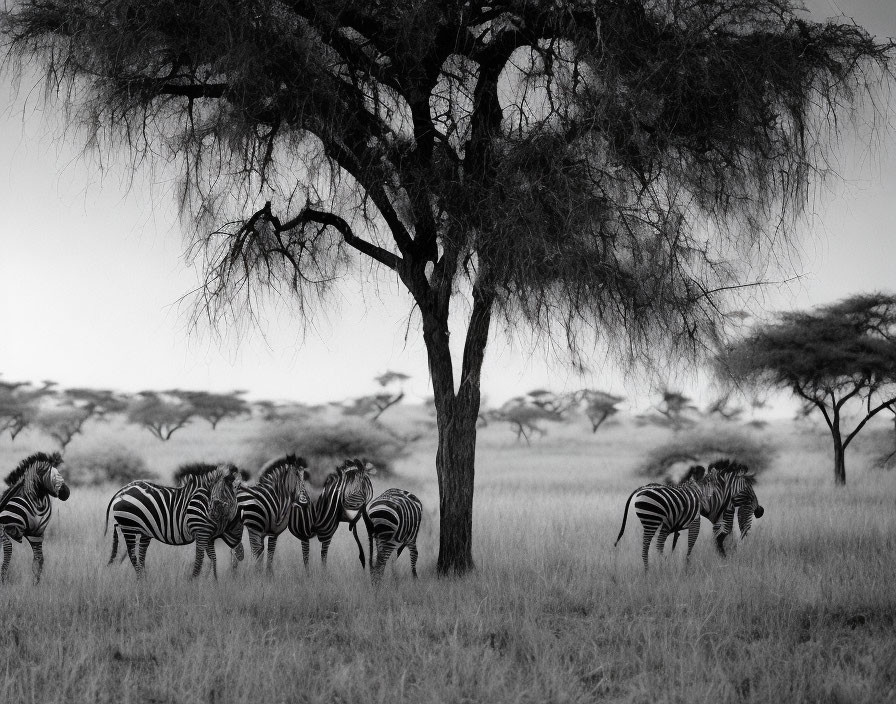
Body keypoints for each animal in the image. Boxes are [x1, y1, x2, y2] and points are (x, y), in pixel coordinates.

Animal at [0, 452, 70, 584]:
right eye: (54, 476)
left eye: (60, 474)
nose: (66, 493)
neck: (38, 501)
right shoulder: (4, 527)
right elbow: (8, 549)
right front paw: (3, 579)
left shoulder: (35, 535)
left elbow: (38, 560)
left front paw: (36, 585)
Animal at [105, 462, 242, 576]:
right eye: (215, 493)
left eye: (230, 492)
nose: (212, 511)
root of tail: (123, 490)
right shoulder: (202, 532)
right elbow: (200, 559)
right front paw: (193, 582)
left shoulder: (209, 535)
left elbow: (213, 558)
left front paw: (214, 583)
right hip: (129, 526)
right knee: (132, 555)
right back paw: (139, 581)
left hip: (138, 530)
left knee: (132, 555)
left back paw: (139, 580)